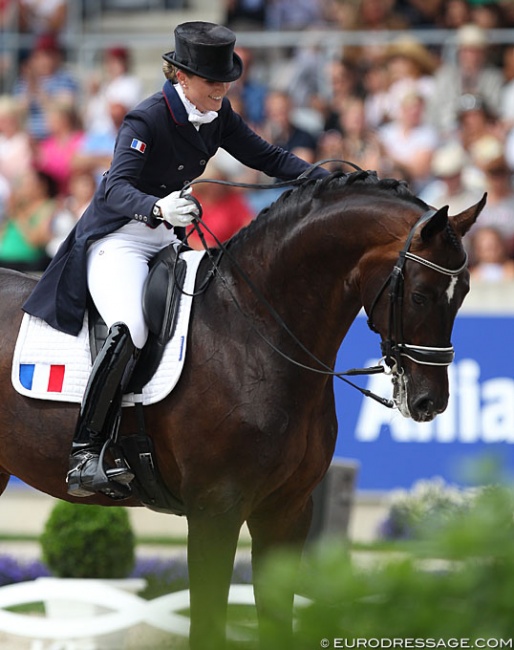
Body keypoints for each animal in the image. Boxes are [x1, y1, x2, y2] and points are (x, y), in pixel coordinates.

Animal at [0, 170, 480, 644]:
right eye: (420, 295)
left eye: (464, 293)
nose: (429, 401)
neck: (253, 333)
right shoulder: (215, 511)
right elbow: (207, 625)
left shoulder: (287, 512)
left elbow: (277, 622)